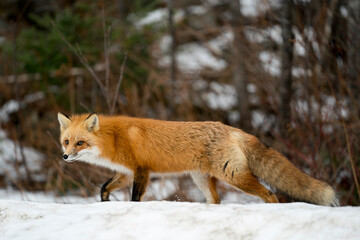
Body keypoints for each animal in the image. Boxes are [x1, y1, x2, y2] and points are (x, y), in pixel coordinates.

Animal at [57, 112, 338, 206]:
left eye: (80, 143)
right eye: (66, 141)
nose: (65, 156)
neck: (115, 138)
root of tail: (231, 128)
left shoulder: (142, 170)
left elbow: (136, 198)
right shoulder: (125, 173)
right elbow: (104, 187)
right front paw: (104, 202)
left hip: (234, 176)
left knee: (269, 193)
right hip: (202, 179)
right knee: (216, 200)